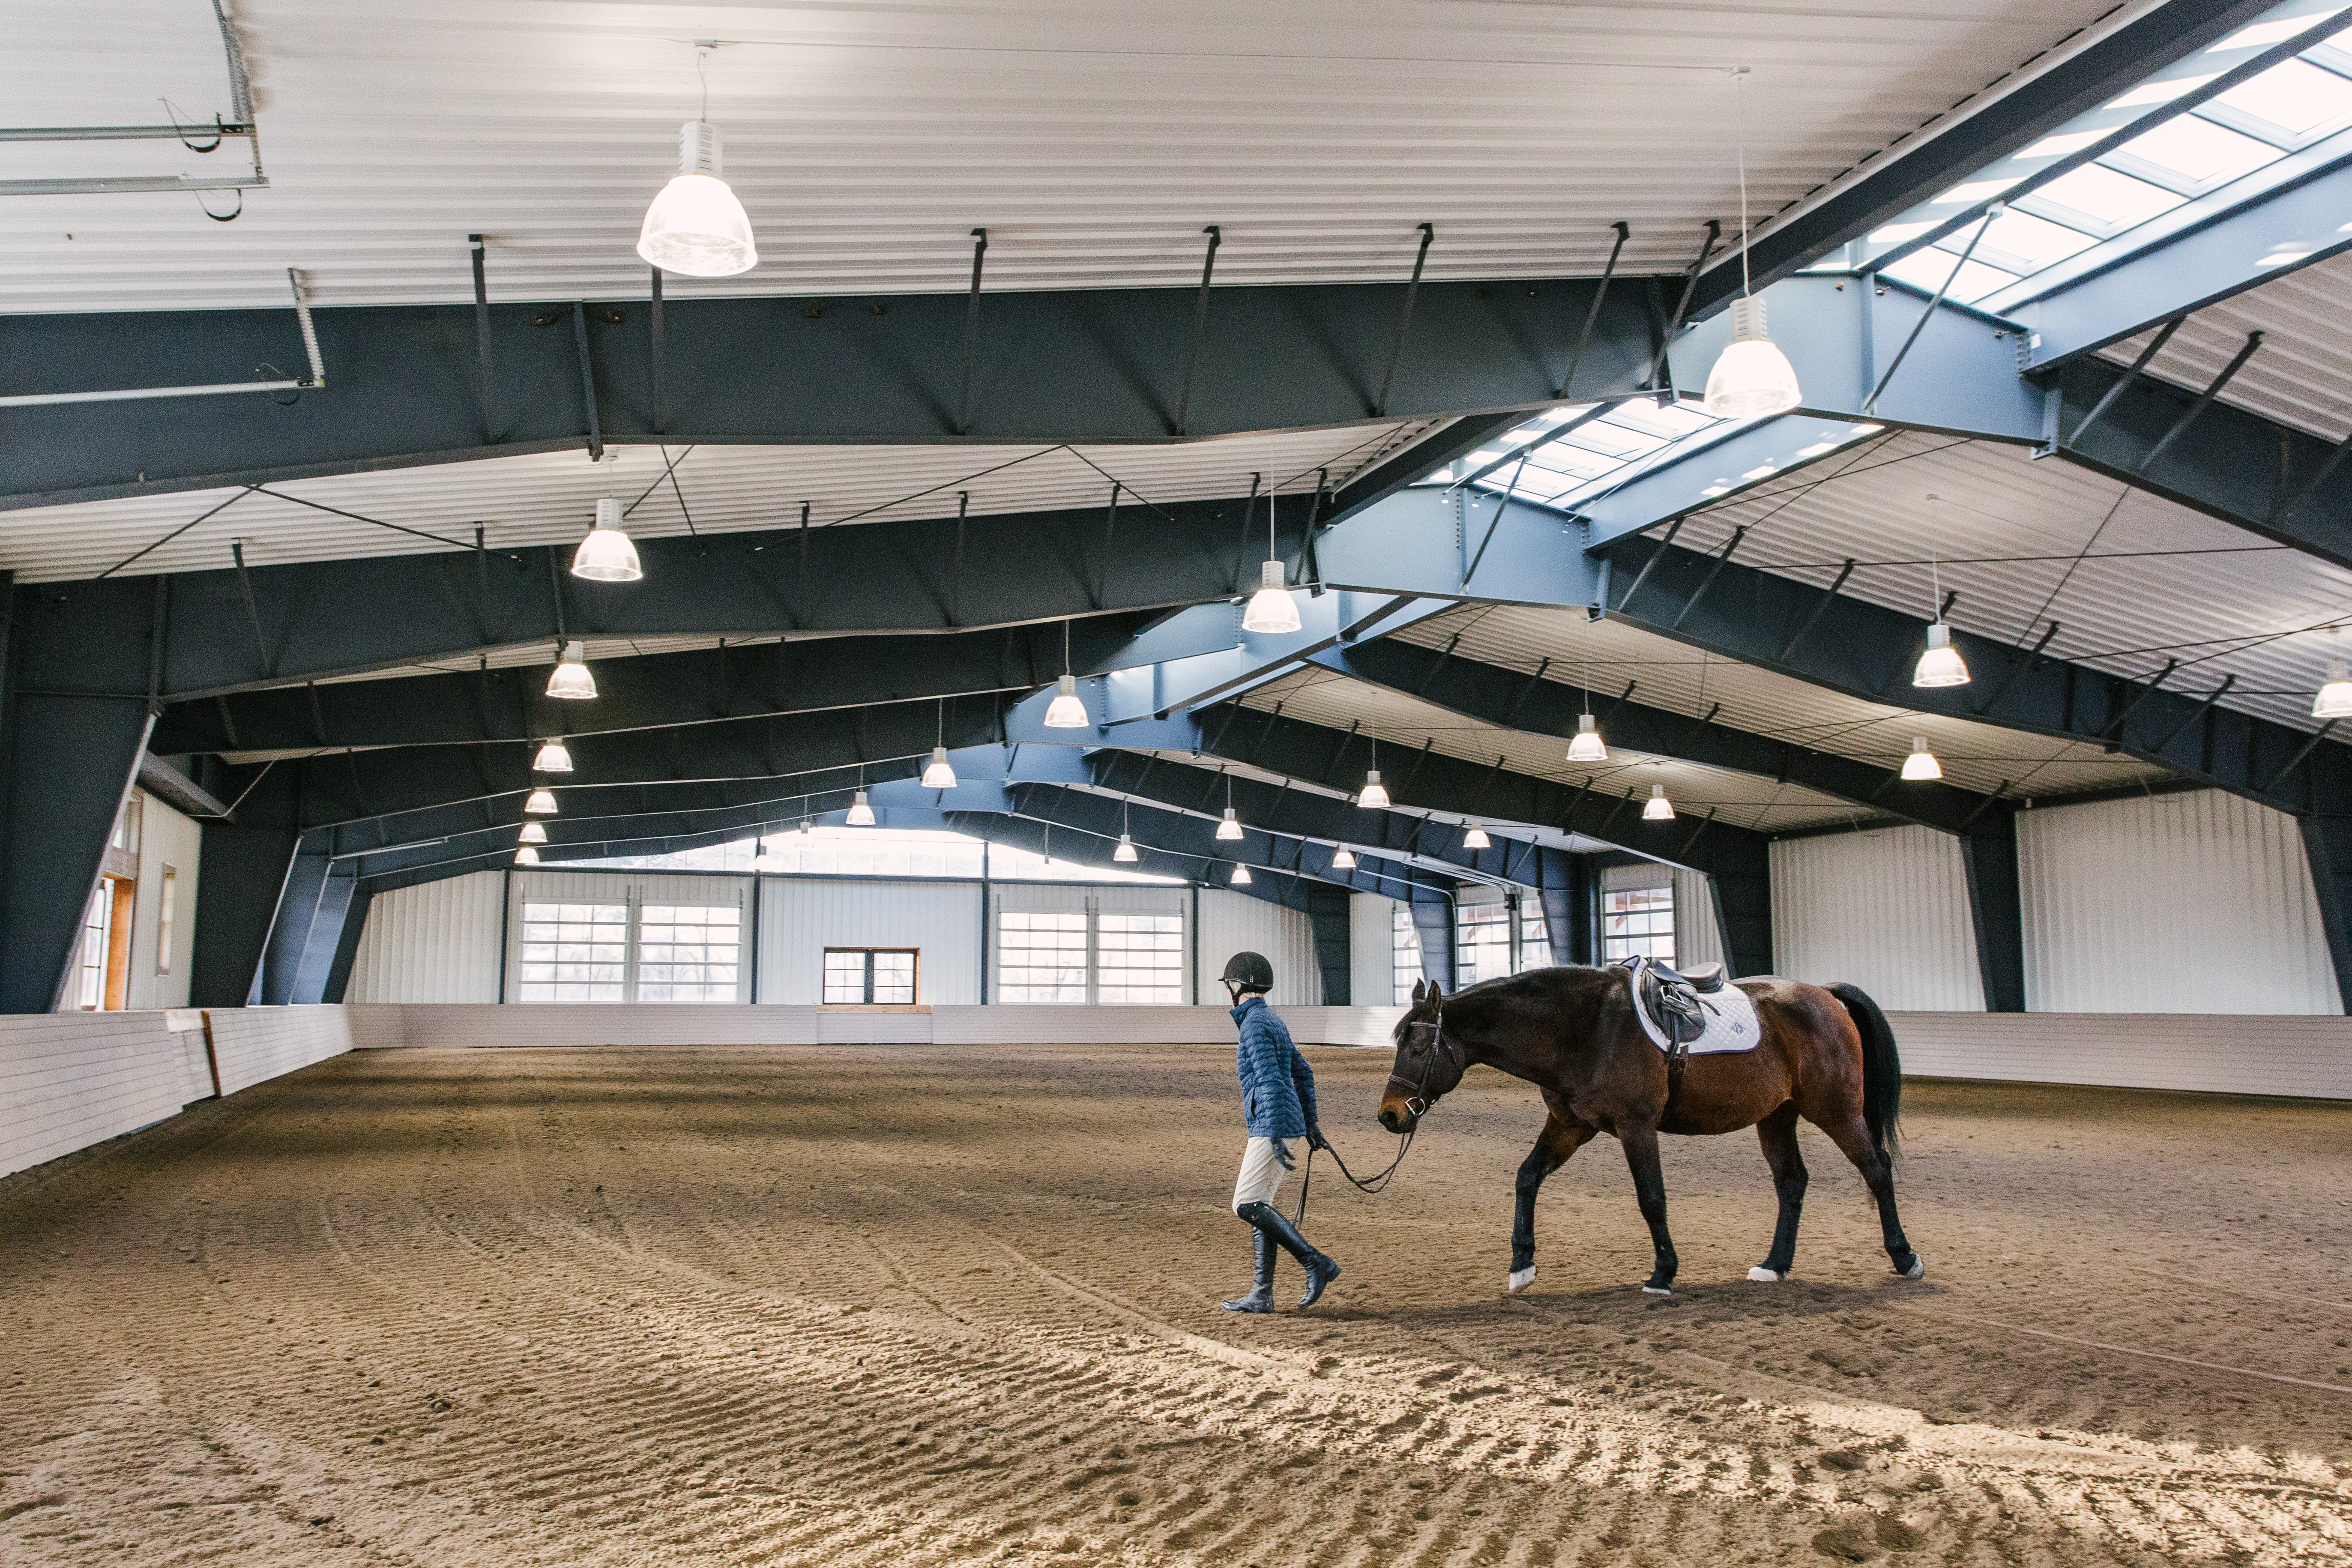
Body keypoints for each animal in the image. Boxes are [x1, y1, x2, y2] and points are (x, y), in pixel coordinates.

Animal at [1373, 973, 1919, 1297]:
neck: (1586, 1031)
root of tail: (1824, 994)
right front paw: (1521, 1265)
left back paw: (1905, 1257)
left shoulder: (1636, 1128)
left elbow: (1652, 1199)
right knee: (1792, 1183)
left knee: (1877, 1170)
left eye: (1419, 1047)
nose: (1390, 1115)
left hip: (1836, 1110)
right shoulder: (1571, 1126)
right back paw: (1774, 1265)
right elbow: (1527, 1178)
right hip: (1778, 1116)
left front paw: (1663, 1272)